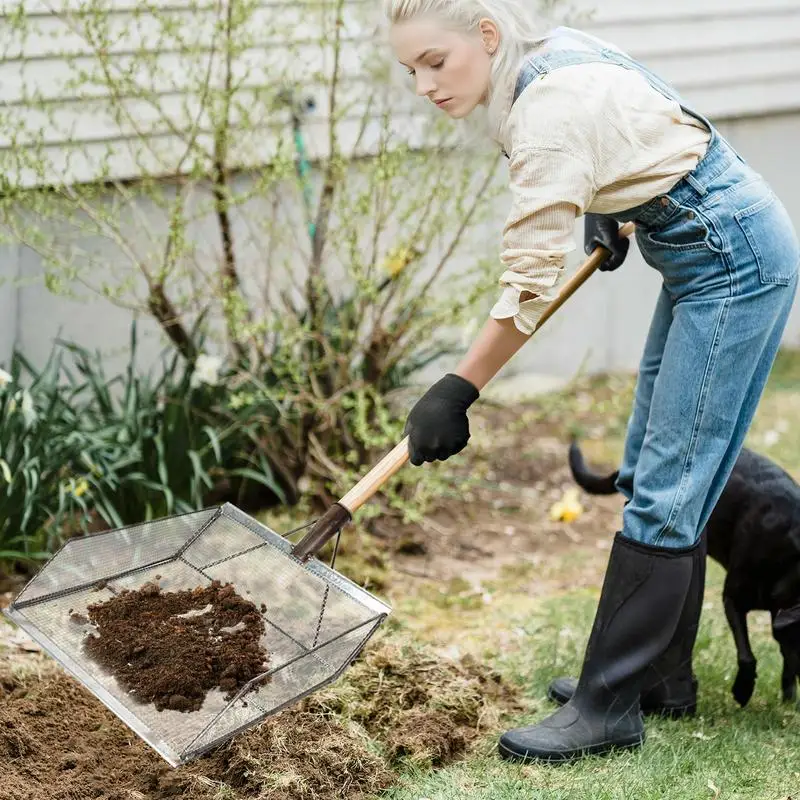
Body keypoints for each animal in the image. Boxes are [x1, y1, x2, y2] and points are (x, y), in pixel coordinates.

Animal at [568, 440, 800, 708]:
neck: (789, 562)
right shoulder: (733, 600)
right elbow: (746, 654)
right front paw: (743, 689)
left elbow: (787, 658)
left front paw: (788, 696)